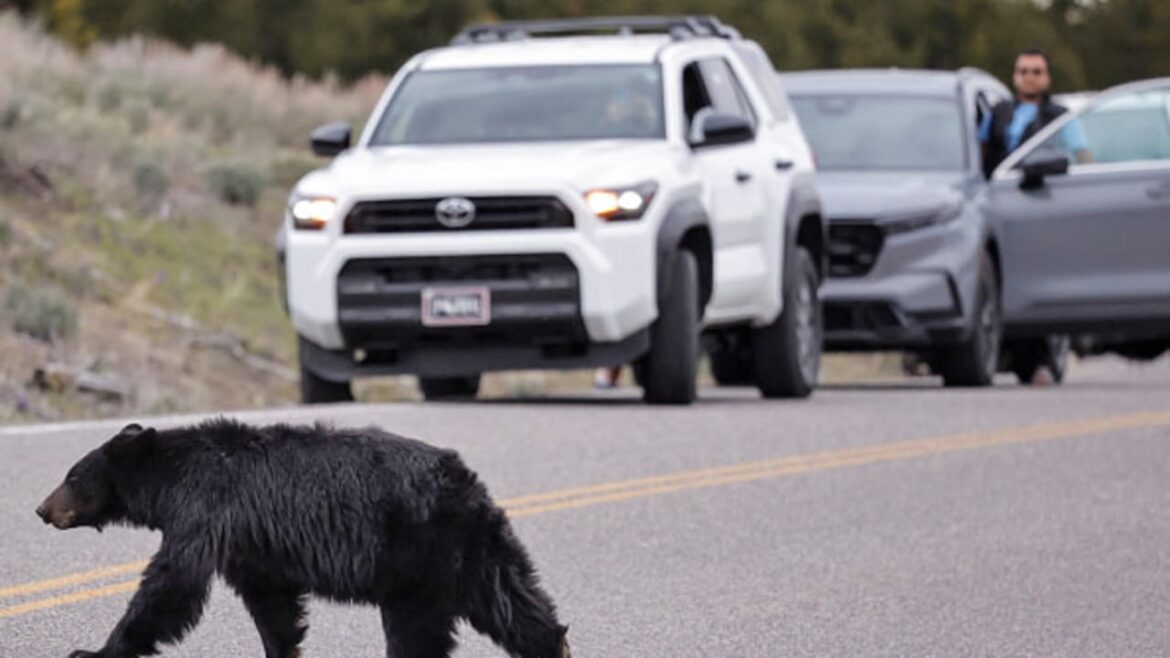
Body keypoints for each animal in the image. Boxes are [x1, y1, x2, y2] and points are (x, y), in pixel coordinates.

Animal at [35, 419, 571, 658]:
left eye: (72, 476)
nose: (42, 509)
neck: (170, 476)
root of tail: (463, 479)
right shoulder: (251, 546)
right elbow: (272, 603)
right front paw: (283, 650)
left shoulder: (205, 509)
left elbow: (172, 585)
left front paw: (96, 651)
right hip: (475, 548)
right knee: (513, 601)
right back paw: (554, 646)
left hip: (416, 553)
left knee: (417, 627)